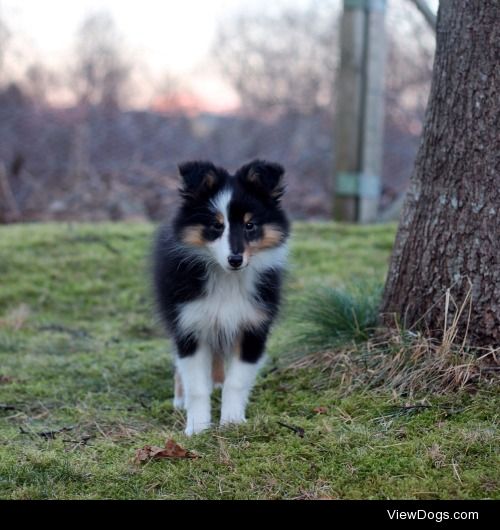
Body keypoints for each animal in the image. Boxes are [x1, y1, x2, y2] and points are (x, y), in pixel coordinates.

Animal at [154, 160, 292, 434]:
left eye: (250, 225)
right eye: (216, 225)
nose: (235, 259)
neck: (226, 278)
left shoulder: (253, 327)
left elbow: (236, 382)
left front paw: (232, 421)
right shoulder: (189, 324)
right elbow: (196, 386)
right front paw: (197, 427)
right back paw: (180, 399)